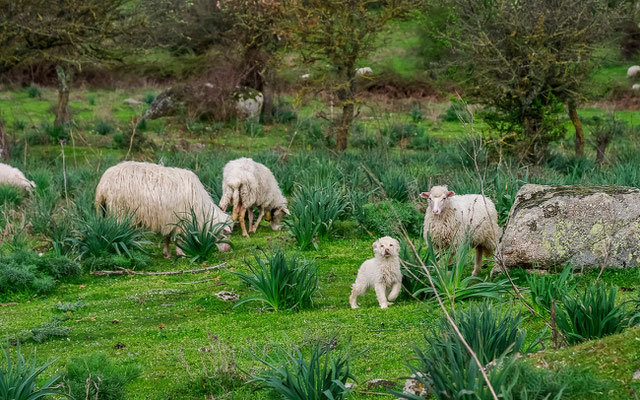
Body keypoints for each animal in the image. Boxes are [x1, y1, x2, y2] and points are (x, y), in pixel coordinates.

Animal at [95, 162, 232, 260]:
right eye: (224, 234)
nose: (227, 249)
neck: (202, 210)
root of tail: (102, 185)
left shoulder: (169, 219)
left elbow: (167, 237)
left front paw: (167, 254)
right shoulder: (181, 221)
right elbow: (178, 239)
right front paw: (181, 254)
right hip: (119, 212)